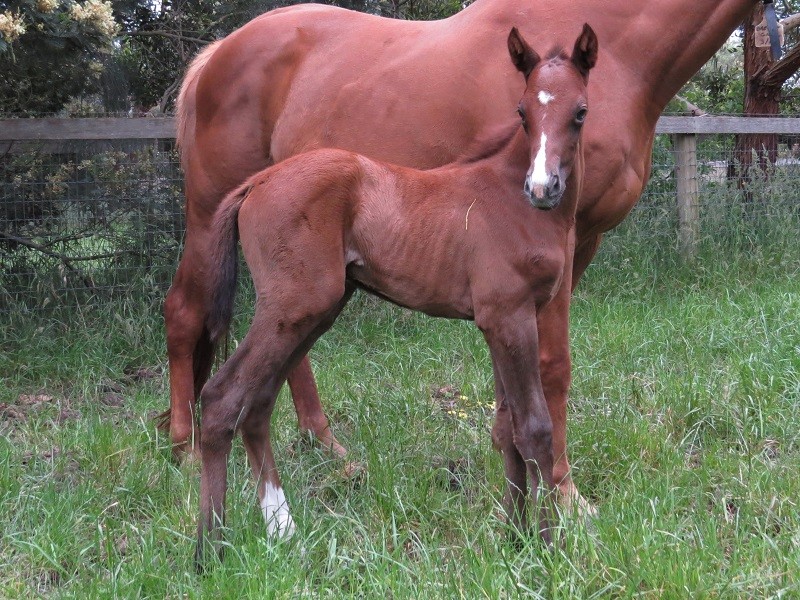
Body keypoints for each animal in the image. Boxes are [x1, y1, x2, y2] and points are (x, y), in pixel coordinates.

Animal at [162, 0, 764, 510]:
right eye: (523, 113)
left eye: (581, 113)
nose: (541, 186)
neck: (624, 48)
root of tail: (215, 55)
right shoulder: (561, 253)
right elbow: (554, 368)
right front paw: (566, 494)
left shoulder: (566, 254)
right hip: (209, 212)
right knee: (187, 312)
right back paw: (185, 448)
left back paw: (325, 446)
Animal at [195, 24, 592, 568]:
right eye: (522, 112)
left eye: (580, 112)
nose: (542, 188)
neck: (510, 201)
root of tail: (257, 182)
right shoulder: (511, 318)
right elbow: (534, 428)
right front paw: (547, 552)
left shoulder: (500, 321)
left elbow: (506, 429)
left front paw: (514, 538)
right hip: (293, 306)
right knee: (220, 399)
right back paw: (208, 553)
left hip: (314, 311)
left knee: (257, 403)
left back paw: (282, 529)